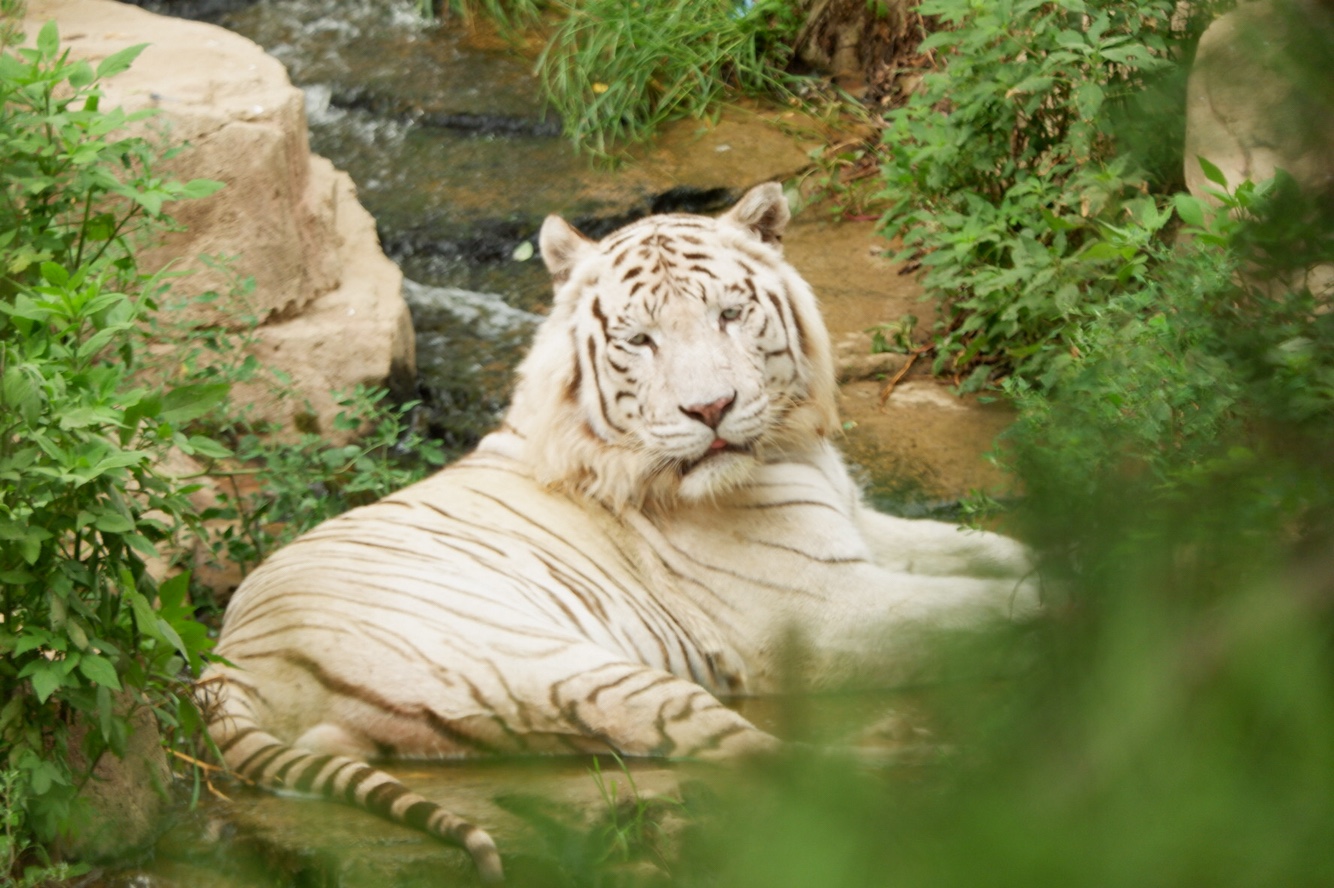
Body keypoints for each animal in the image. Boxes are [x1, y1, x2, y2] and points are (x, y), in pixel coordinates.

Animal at [202, 182, 1040, 880]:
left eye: (729, 314)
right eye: (640, 340)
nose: (712, 409)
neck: (789, 448)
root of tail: (224, 668)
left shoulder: (860, 530)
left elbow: (999, 553)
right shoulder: (822, 610)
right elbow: (991, 610)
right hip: (568, 668)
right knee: (749, 752)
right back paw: (919, 758)